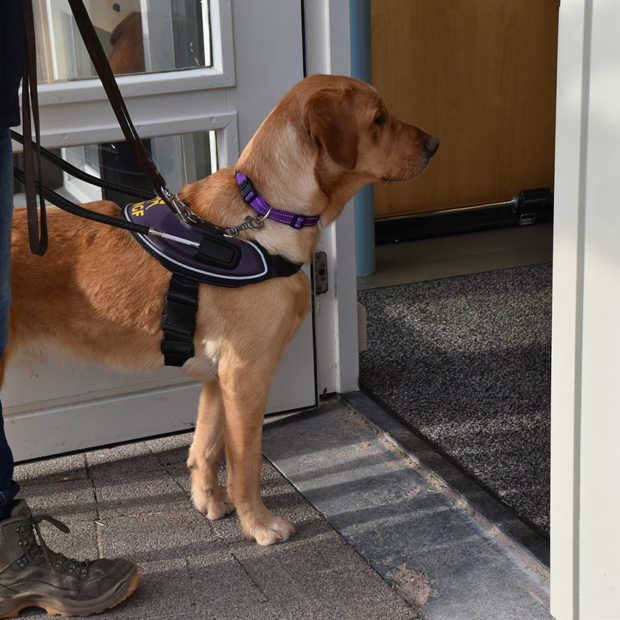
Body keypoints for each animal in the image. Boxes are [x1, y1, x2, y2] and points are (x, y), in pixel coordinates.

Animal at [2, 75, 438, 544]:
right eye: (378, 119)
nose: (435, 144)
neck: (265, 213)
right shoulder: (246, 372)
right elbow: (245, 461)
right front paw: (259, 523)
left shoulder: (218, 374)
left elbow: (205, 448)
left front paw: (209, 501)